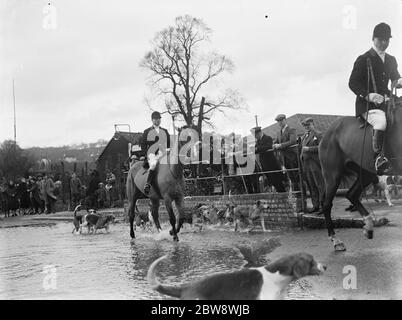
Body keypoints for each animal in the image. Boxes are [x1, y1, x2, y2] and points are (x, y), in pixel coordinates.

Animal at [320, 96, 402, 251]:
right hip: (332, 175)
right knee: (327, 204)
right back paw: (336, 240)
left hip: (366, 172)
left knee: (351, 194)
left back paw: (368, 226)